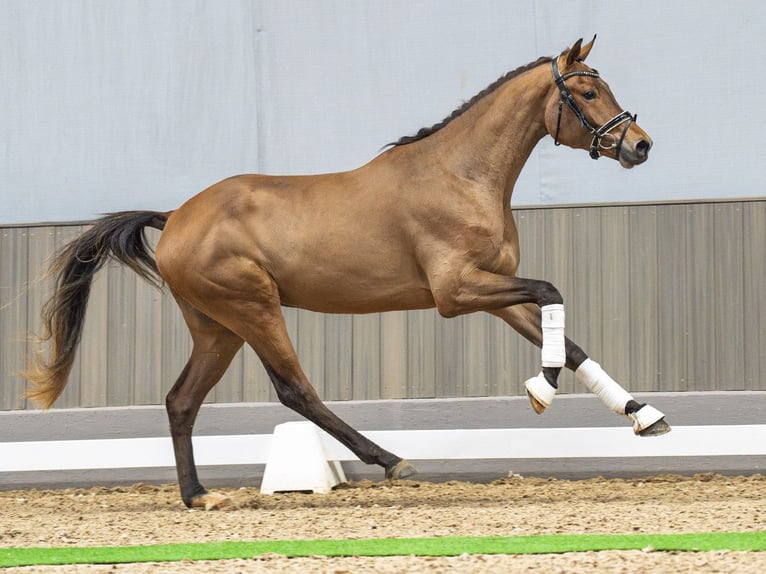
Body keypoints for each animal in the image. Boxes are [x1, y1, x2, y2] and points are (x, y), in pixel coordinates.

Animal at [24, 38, 672, 510]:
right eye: (586, 90)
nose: (640, 145)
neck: (461, 174)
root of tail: (177, 216)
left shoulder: (493, 291)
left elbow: (568, 340)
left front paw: (646, 417)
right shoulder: (456, 291)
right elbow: (552, 294)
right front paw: (541, 390)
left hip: (217, 327)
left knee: (181, 400)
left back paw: (198, 496)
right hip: (253, 308)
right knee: (295, 390)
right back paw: (392, 461)